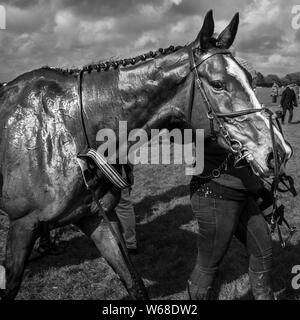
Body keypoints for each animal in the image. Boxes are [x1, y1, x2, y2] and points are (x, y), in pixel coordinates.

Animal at [0, 10, 292, 300]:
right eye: (218, 84)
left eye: (250, 79)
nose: (278, 151)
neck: (70, 130)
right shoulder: (22, 225)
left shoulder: (97, 218)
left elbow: (135, 283)